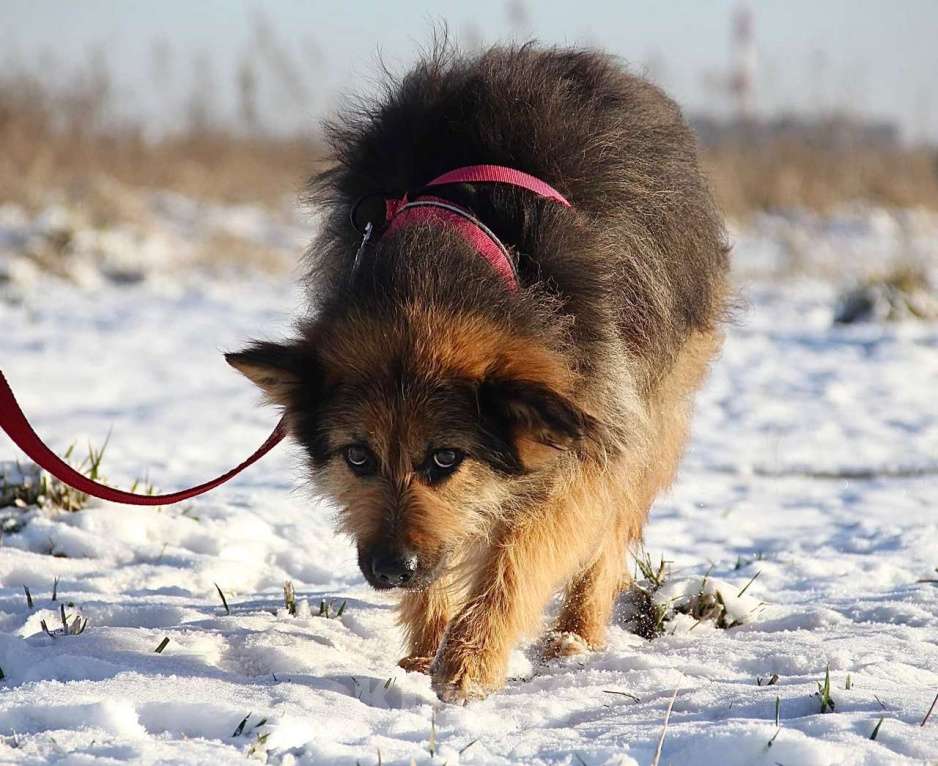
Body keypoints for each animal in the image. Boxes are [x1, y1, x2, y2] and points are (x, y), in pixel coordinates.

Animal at [227, 40, 732, 704]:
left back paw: (575, 633)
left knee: (608, 533)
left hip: (656, 401)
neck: (441, 271)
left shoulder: (591, 424)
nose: (390, 570)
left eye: (446, 459)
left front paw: (472, 656)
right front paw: (424, 652)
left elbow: (526, 549)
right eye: (357, 457)